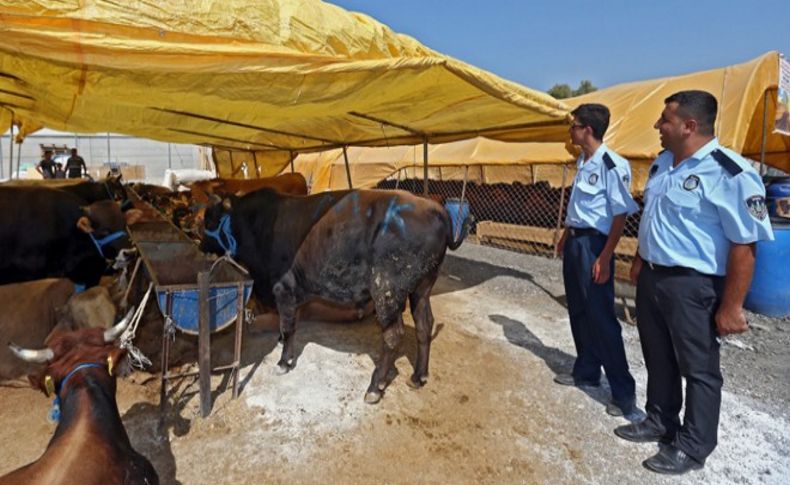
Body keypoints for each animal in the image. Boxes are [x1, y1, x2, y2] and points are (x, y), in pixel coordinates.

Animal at [201, 187, 470, 402]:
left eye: (210, 218)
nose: (202, 245)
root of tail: (434, 207)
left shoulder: (284, 289)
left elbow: (288, 327)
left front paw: (284, 362)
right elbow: (288, 326)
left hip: (387, 291)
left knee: (393, 335)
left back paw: (375, 387)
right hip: (421, 289)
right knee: (425, 325)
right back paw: (419, 376)